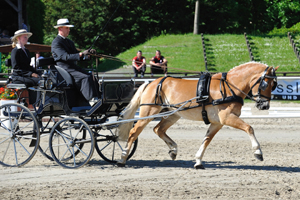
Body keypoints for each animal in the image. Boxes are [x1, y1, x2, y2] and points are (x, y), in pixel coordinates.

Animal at [116, 62, 278, 169]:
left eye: (274, 85)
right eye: (265, 84)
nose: (265, 106)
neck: (229, 87)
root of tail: (152, 82)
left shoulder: (217, 122)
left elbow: (206, 140)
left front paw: (198, 161)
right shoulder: (226, 118)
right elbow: (249, 128)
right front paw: (258, 152)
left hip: (173, 114)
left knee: (158, 129)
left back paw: (173, 150)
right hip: (148, 112)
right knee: (134, 132)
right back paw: (122, 158)